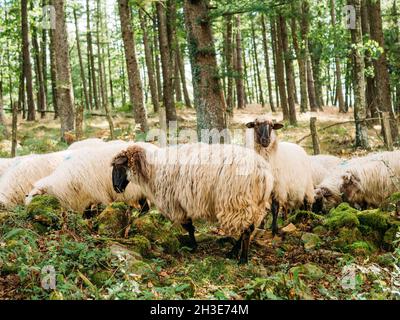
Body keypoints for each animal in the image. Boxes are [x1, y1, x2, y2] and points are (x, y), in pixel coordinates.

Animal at [111, 143, 276, 264]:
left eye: (119, 167)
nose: (116, 188)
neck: (152, 169)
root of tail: (263, 172)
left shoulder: (176, 204)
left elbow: (189, 226)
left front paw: (193, 246)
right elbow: (190, 226)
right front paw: (193, 245)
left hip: (236, 202)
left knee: (246, 229)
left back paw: (242, 259)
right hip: (256, 204)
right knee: (250, 227)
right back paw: (233, 252)